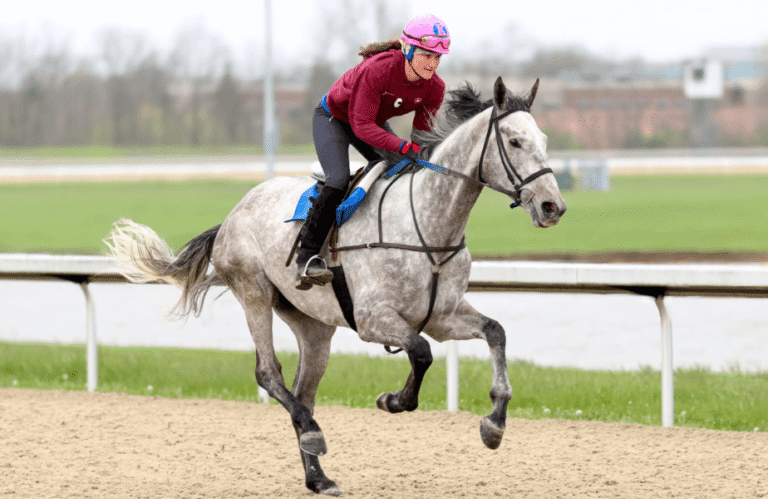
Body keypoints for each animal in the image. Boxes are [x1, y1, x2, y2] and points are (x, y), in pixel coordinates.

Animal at [105, 77, 567, 496]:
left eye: (544, 139)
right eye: (514, 141)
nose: (553, 207)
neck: (427, 225)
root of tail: (233, 213)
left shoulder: (443, 315)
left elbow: (495, 333)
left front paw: (494, 424)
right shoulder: (372, 319)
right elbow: (420, 352)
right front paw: (393, 400)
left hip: (314, 326)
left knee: (303, 391)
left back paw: (318, 477)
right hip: (253, 292)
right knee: (269, 374)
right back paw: (313, 434)